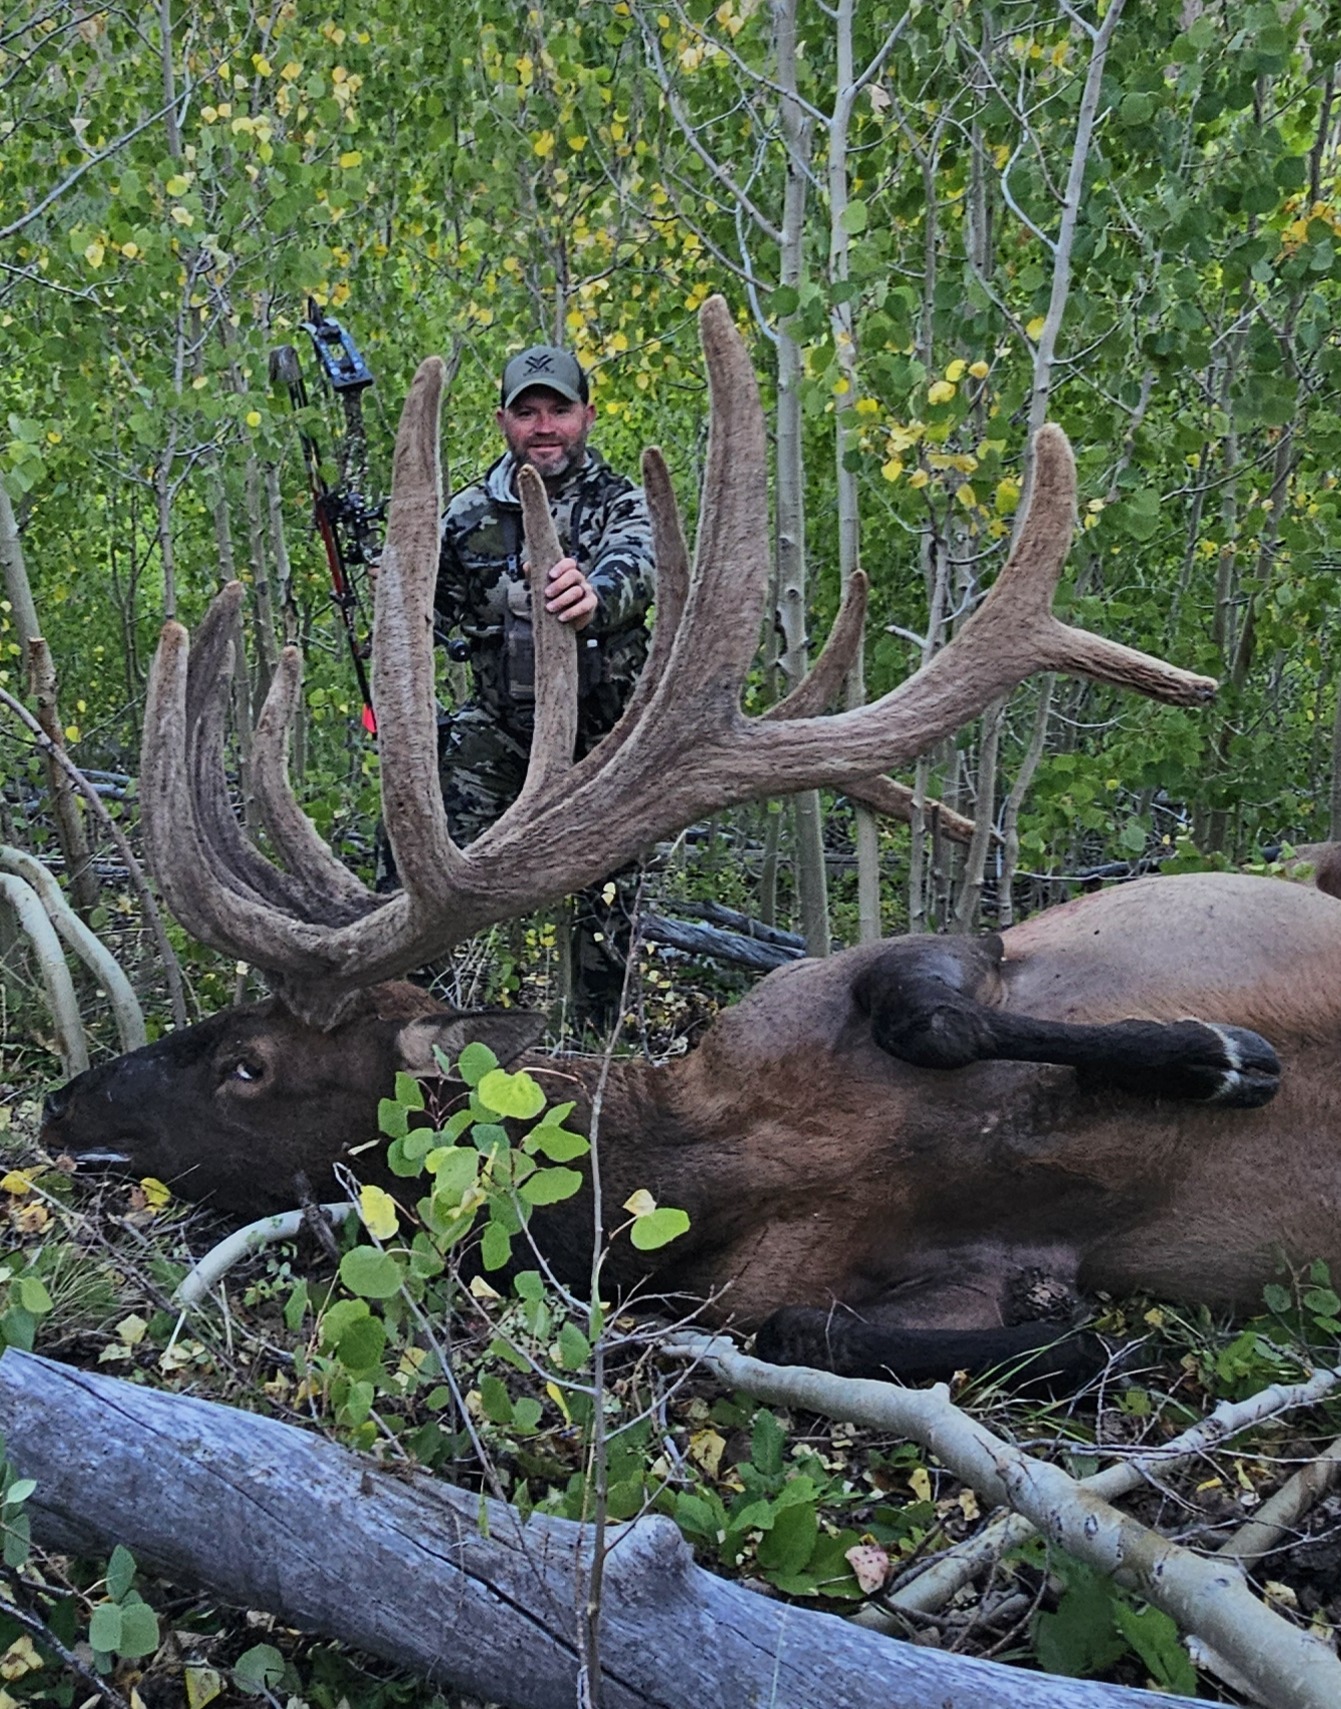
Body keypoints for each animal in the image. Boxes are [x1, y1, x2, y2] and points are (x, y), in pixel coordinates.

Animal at [43, 298, 1341, 1388]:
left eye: (245, 1063)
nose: (59, 1104)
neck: (722, 1157)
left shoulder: (910, 956)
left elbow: (931, 1012)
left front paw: (1228, 1055)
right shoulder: (803, 1277)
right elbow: (827, 1324)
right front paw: (1084, 1317)